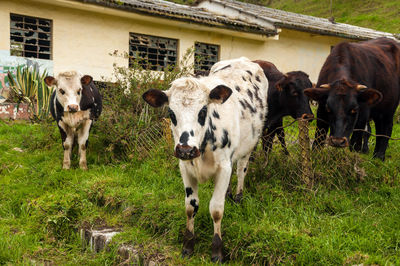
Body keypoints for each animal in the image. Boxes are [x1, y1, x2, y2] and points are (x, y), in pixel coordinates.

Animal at [142, 57, 268, 262]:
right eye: (171, 113)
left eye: (202, 111)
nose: (185, 149)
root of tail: (243, 60)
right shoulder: (185, 167)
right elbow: (190, 206)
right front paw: (188, 245)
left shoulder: (224, 167)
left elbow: (216, 209)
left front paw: (217, 250)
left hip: (250, 145)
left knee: (241, 168)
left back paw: (239, 196)